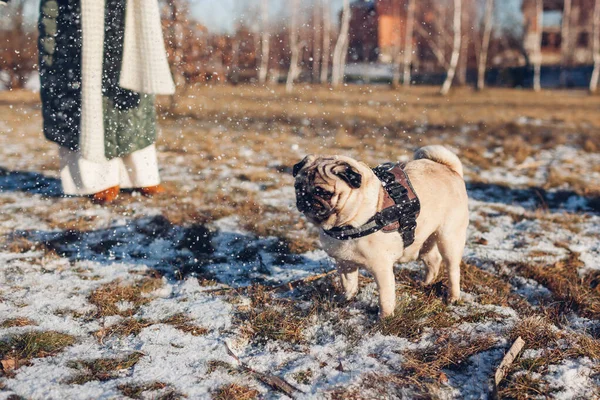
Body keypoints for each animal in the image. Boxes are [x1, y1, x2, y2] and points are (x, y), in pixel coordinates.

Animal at [294, 146, 468, 318]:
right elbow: (348, 284)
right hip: (423, 240)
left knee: (452, 269)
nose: (305, 197)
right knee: (433, 260)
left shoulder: (381, 268)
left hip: (449, 239)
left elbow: (385, 297)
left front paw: (385, 318)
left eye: (323, 192)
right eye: (297, 187)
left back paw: (452, 297)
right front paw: (345, 299)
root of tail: (449, 168)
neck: (346, 224)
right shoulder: (344, 263)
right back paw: (425, 283)